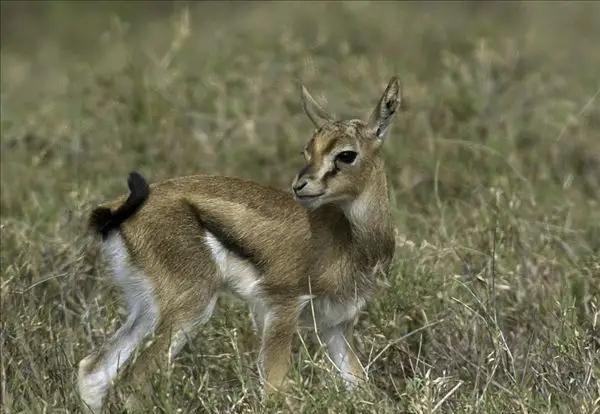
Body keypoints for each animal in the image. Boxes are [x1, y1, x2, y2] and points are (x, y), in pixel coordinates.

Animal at [77, 77, 400, 410]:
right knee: (133, 384)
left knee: (92, 372)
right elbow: (274, 392)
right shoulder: (281, 309)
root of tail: (117, 209)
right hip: (190, 308)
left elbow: (361, 387)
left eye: (346, 154)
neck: (351, 241)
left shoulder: (336, 326)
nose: (300, 186)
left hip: (147, 310)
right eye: (307, 150)